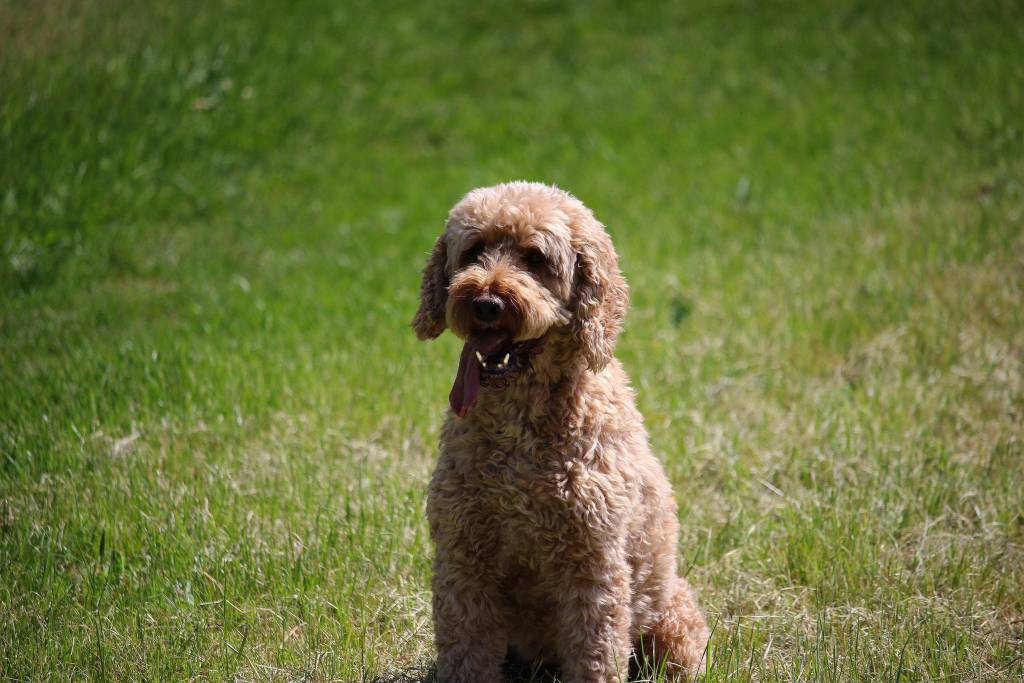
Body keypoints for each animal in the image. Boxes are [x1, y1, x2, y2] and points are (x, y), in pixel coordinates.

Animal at [412, 182, 709, 683]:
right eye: (473, 251)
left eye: (535, 258)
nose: (485, 303)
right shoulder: (463, 556)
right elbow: (466, 650)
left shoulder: (592, 565)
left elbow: (594, 653)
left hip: (673, 622)